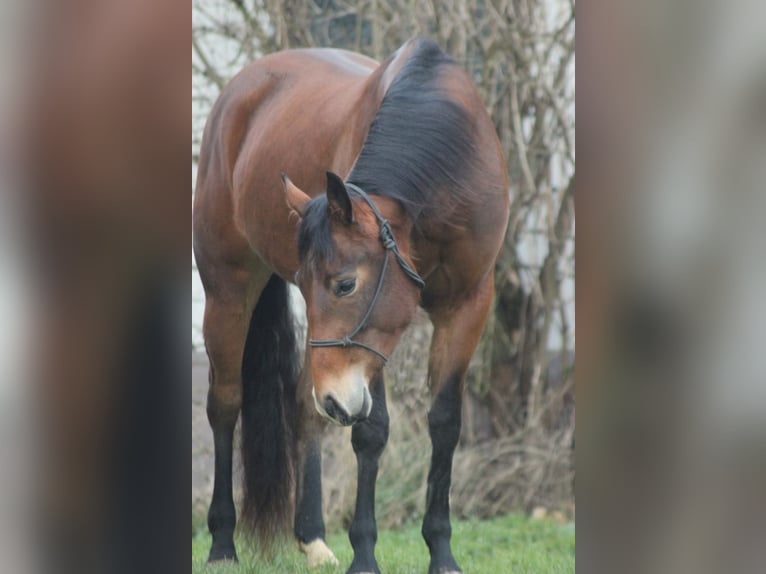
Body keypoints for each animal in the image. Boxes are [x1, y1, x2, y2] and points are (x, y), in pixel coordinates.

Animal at [193, 37, 509, 574]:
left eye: (344, 285)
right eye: (313, 284)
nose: (336, 399)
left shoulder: (468, 306)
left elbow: (445, 424)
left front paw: (442, 552)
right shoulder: (367, 351)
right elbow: (371, 431)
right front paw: (365, 553)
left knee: (304, 410)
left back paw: (313, 538)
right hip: (226, 295)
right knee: (226, 405)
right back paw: (221, 543)